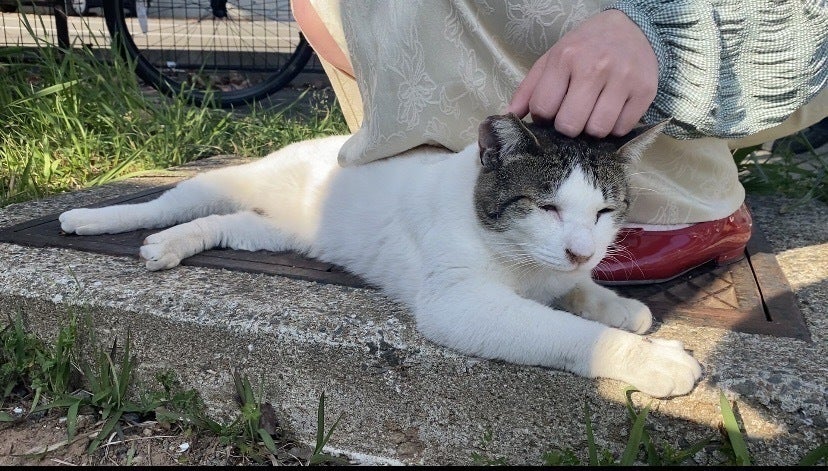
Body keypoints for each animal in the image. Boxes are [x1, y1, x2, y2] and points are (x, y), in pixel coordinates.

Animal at [59, 113, 702, 398]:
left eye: (605, 211)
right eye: (545, 206)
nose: (580, 249)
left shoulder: (559, 273)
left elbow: (579, 290)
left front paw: (620, 306)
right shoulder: (458, 303)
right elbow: (566, 331)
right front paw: (654, 359)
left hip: (271, 234)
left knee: (221, 225)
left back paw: (172, 245)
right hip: (226, 181)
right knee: (169, 202)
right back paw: (94, 220)